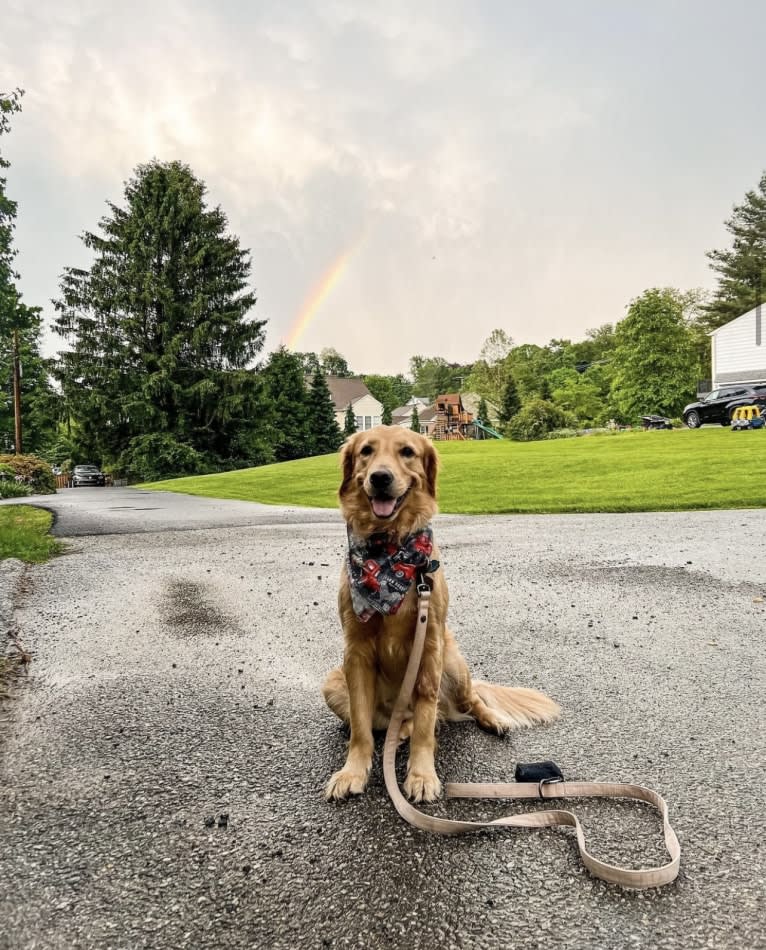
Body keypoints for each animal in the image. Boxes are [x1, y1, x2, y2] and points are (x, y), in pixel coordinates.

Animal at [320, 428, 560, 808]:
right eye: (366, 451)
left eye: (407, 452)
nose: (380, 477)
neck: (389, 552)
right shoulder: (354, 651)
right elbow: (360, 726)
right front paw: (352, 772)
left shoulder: (430, 644)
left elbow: (425, 722)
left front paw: (421, 775)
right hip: (332, 683)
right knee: (389, 724)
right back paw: (397, 732)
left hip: (454, 663)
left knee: (469, 701)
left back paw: (491, 719)